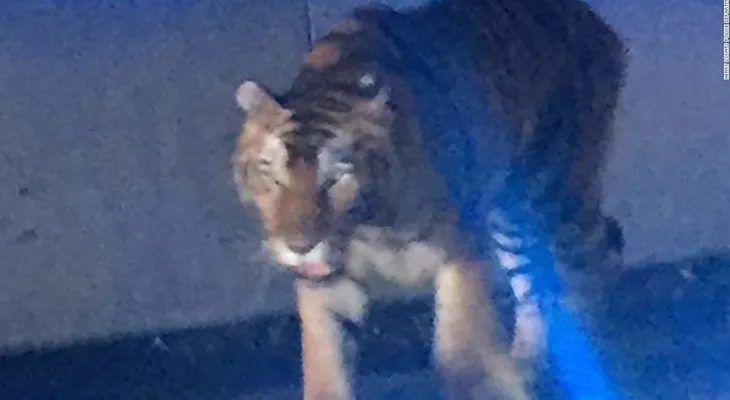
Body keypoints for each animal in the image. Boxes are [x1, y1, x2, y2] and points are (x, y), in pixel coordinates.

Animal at [231, 0, 627, 398]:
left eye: (336, 178)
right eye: (272, 176)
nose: (299, 246)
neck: (373, 226)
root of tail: (590, 19)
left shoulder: (461, 250)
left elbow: (462, 355)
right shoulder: (326, 283)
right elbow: (326, 362)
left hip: (558, 199)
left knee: (592, 262)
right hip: (512, 222)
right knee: (534, 288)